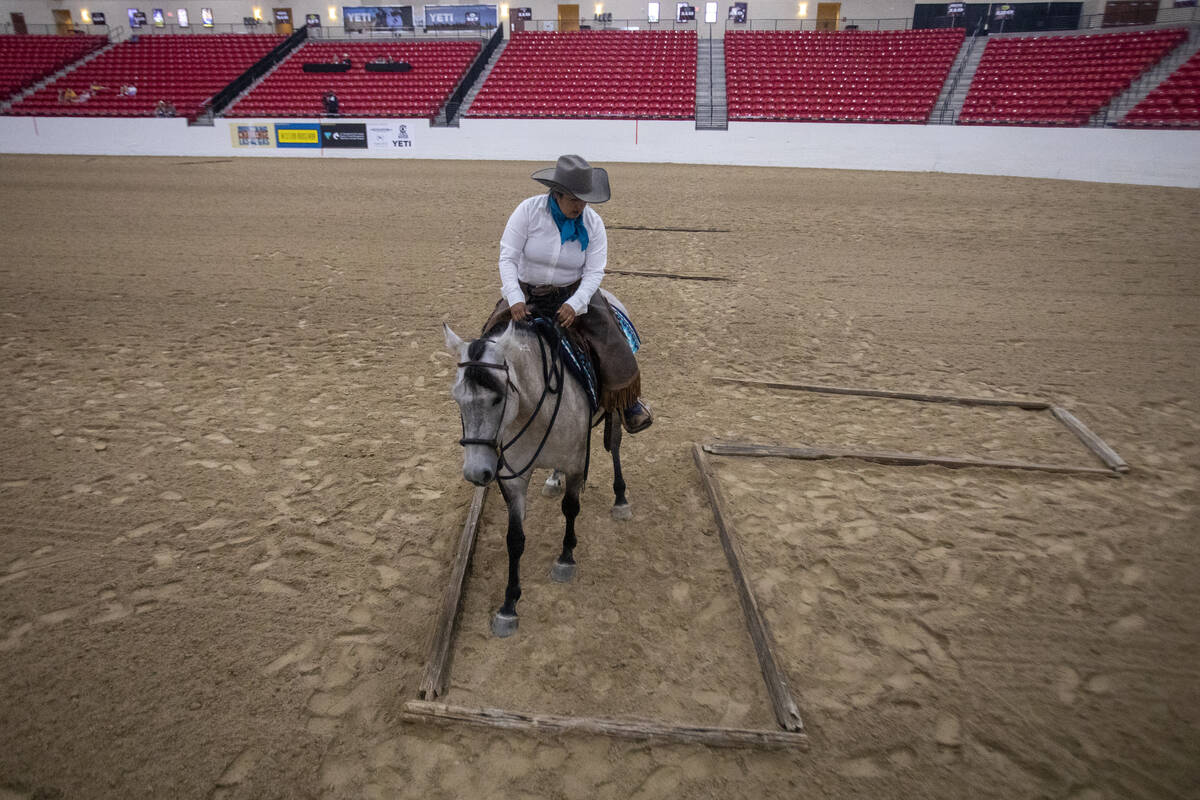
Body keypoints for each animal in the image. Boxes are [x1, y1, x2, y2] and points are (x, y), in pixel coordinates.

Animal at [441, 319, 628, 638]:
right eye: (457, 399)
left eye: (498, 397)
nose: (477, 472)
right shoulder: (513, 478)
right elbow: (515, 539)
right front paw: (508, 606)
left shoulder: (576, 463)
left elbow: (571, 509)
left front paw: (565, 559)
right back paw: (553, 480)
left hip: (615, 407)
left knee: (614, 445)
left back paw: (620, 498)